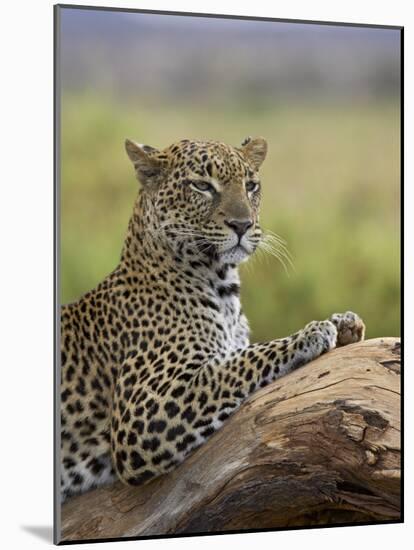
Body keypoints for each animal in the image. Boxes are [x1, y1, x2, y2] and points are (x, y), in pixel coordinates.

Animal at [59, 136, 364, 502]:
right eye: (202, 186)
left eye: (251, 185)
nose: (242, 225)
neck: (222, 285)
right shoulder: (145, 410)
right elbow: (238, 362)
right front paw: (312, 332)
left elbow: (236, 355)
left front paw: (345, 322)